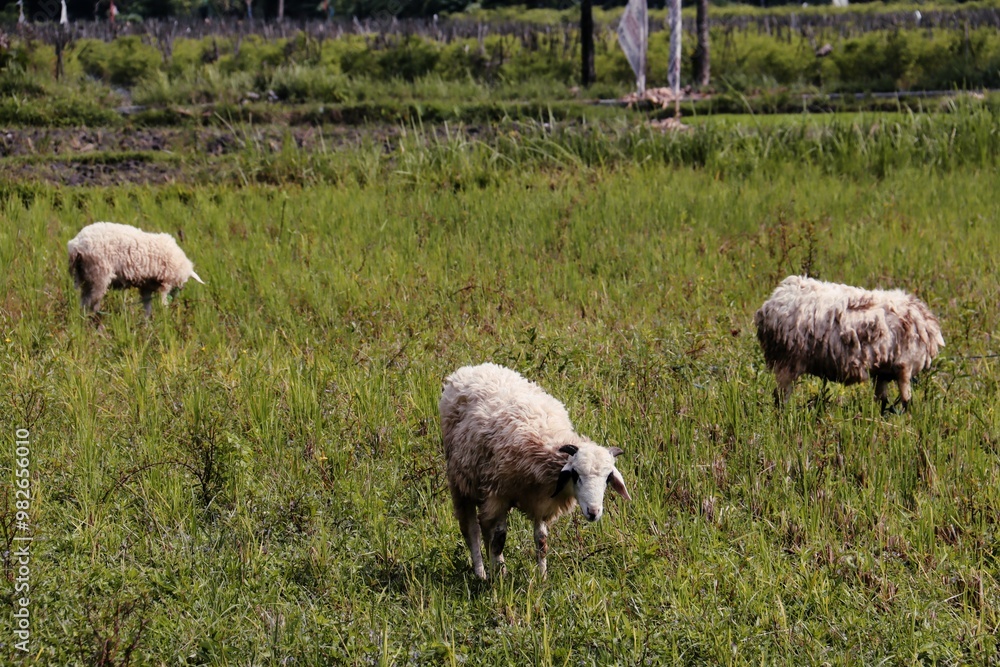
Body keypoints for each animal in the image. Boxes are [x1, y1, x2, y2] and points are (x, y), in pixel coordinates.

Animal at [67, 222, 204, 317]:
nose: (179, 290)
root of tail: (75, 245)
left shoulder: (146, 286)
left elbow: (147, 307)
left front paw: (147, 324)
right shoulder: (166, 282)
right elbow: (163, 302)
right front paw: (165, 317)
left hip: (85, 276)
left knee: (84, 301)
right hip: (99, 274)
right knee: (92, 302)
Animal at [439, 363, 631, 580]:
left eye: (607, 479)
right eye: (575, 475)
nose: (593, 513)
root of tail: (472, 368)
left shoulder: (540, 502)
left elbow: (541, 541)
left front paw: (542, 578)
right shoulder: (498, 494)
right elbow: (499, 539)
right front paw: (500, 580)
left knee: (485, 527)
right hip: (460, 481)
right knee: (472, 529)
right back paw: (481, 573)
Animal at [754, 275, 944, 412]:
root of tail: (768, 306)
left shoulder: (883, 371)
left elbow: (882, 401)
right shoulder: (903, 366)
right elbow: (906, 401)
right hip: (788, 360)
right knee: (780, 396)